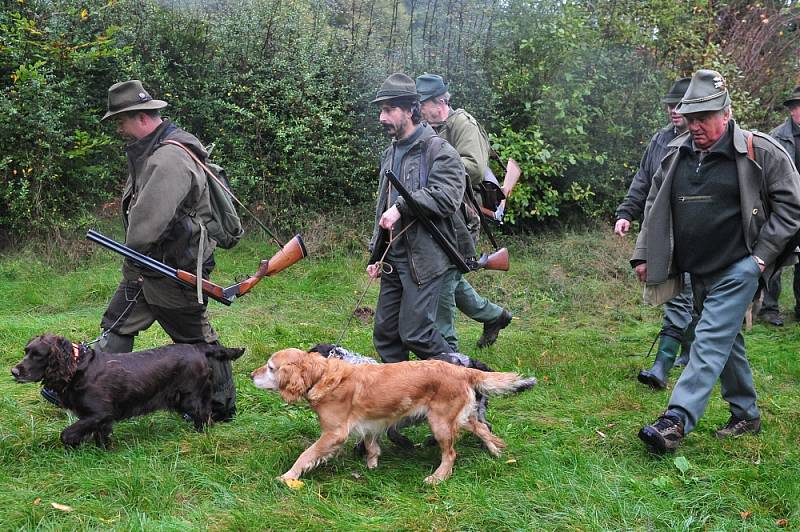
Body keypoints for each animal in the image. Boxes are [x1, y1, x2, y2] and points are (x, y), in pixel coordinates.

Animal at [10, 334, 244, 446]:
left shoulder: (99, 413)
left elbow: (66, 434)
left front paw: (74, 444)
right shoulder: (100, 420)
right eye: (25, 351)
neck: (76, 367)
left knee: (205, 419)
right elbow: (101, 438)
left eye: (38, 355)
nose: (14, 371)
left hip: (191, 398)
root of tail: (197, 347)